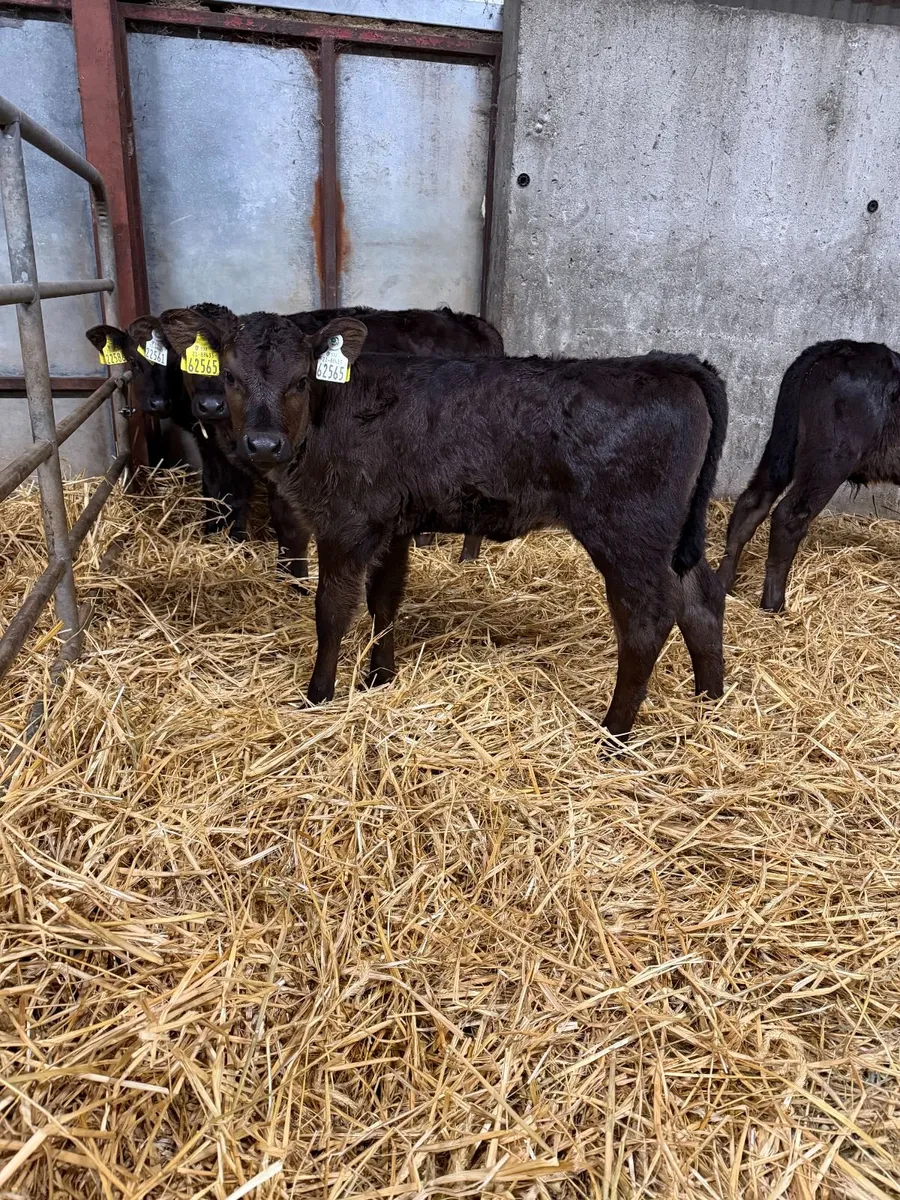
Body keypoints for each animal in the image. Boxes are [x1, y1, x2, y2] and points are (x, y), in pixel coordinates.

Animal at [161, 305, 505, 564]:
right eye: (227, 373)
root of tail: (472, 322)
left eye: (302, 380)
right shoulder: (221, 456)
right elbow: (222, 497)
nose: (210, 405)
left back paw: (466, 560)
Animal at [718, 340, 900, 612]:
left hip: (781, 446)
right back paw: (774, 604)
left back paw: (722, 583)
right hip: (830, 459)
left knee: (751, 503)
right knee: (789, 515)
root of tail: (835, 347)